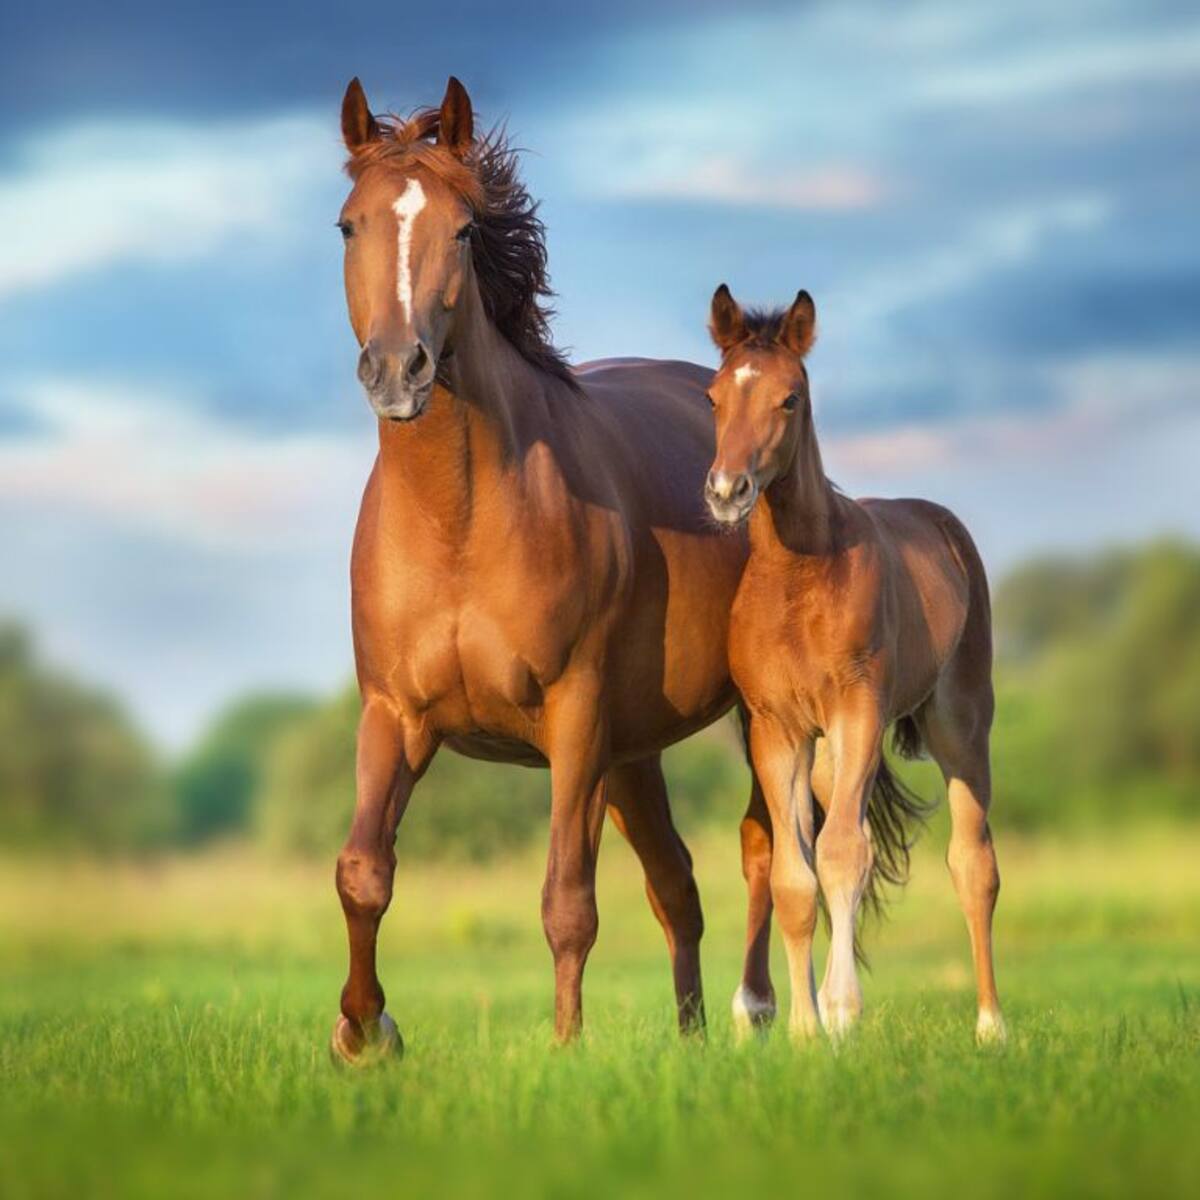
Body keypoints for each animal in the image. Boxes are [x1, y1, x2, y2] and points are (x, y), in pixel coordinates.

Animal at [329, 75, 782, 1062]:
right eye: (349, 225)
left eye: (464, 229)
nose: (397, 370)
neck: (458, 523)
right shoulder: (395, 715)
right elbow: (363, 872)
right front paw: (364, 1032)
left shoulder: (574, 718)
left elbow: (566, 902)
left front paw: (565, 1050)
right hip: (634, 752)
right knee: (678, 886)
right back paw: (691, 1039)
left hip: (745, 720)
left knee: (768, 847)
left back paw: (758, 1011)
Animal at [701, 284, 1006, 1043]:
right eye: (714, 397)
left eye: (790, 398)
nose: (726, 490)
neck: (797, 577)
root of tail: (944, 525)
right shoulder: (778, 730)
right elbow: (795, 876)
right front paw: (806, 1030)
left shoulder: (857, 711)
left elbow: (841, 853)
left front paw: (840, 1014)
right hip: (834, 757)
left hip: (958, 726)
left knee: (973, 864)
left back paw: (992, 1026)